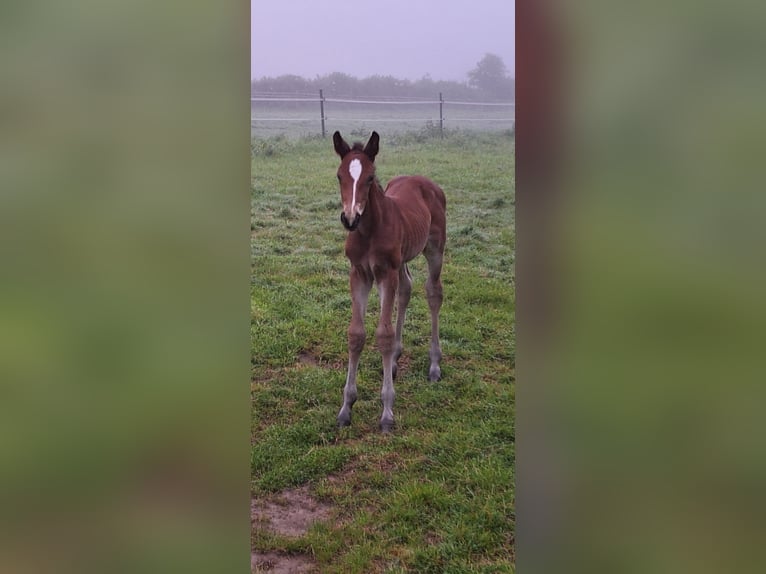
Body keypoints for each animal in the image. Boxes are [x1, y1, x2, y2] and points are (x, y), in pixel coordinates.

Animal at [332, 130, 448, 434]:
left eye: (370, 177)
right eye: (339, 175)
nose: (350, 218)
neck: (368, 231)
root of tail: (424, 180)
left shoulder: (385, 272)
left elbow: (382, 335)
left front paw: (386, 413)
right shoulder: (359, 273)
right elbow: (356, 334)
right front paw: (346, 408)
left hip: (434, 249)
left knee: (433, 293)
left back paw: (434, 365)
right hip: (403, 259)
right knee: (406, 289)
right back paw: (395, 359)